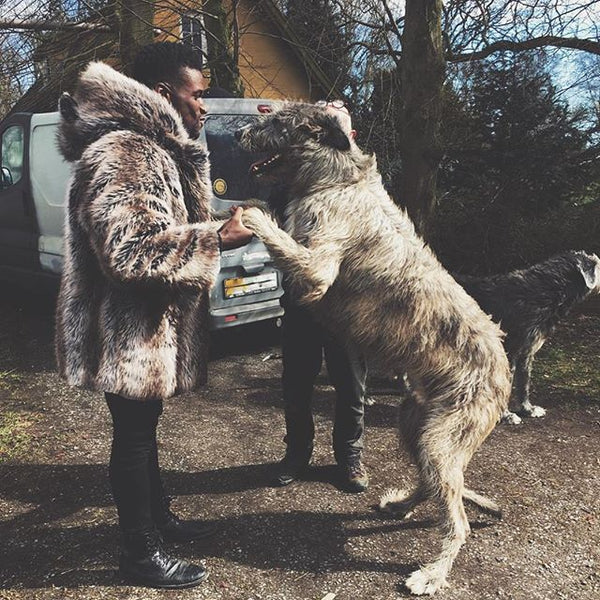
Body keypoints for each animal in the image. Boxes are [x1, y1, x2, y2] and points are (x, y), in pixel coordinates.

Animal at [237, 104, 512, 596]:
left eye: (279, 122)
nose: (238, 131)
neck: (335, 179)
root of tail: (504, 373)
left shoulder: (319, 266)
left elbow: (285, 241)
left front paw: (251, 211)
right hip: (415, 423)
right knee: (434, 484)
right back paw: (402, 505)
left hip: (444, 436)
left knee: (456, 518)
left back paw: (432, 573)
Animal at [458, 251, 596, 424]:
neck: (542, 291)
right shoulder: (509, 352)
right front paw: (506, 415)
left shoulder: (527, 352)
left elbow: (524, 382)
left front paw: (527, 409)